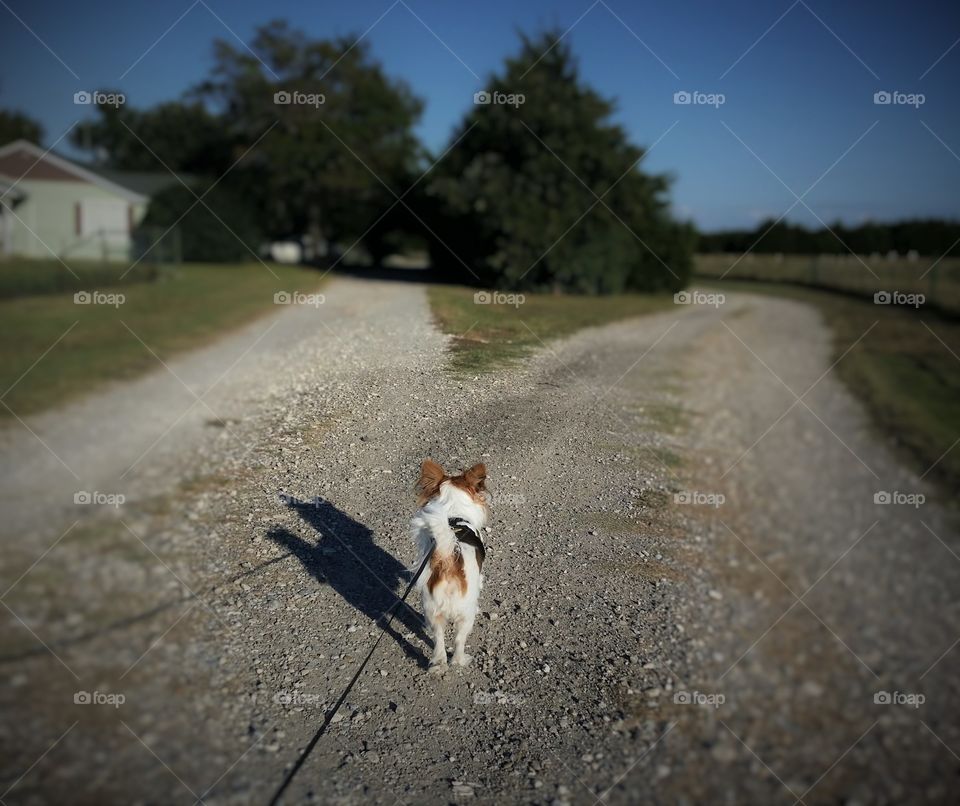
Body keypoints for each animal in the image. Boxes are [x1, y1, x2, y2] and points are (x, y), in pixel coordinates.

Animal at [410, 460, 492, 668]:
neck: (453, 515)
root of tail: (448, 561)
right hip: (466, 614)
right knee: (458, 641)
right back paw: (461, 660)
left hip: (432, 611)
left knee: (439, 643)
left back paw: (439, 665)